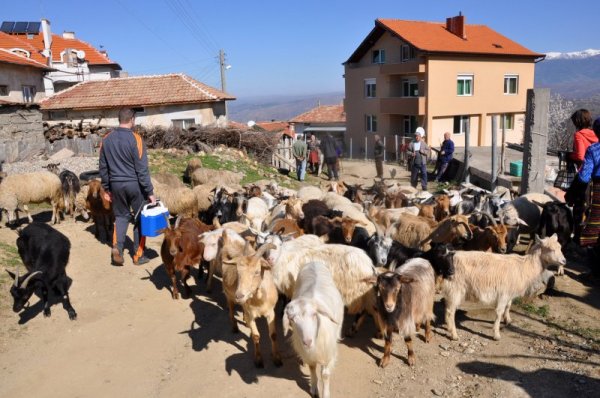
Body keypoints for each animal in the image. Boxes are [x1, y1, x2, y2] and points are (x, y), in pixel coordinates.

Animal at [284, 262, 344, 398]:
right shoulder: (309, 354)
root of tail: (313, 262)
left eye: (314, 314)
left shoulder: (328, 353)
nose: (307, 342)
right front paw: (314, 388)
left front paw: (325, 394)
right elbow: (312, 369)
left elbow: (325, 375)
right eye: (292, 319)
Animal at [440, 235, 568, 340]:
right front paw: (496, 334)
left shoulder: (509, 292)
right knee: (450, 311)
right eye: (550, 249)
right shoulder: (503, 293)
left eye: (560, 247)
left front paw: (508, 320)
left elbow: (508, 306)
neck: (525, 266)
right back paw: (454, 335)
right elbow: (499, 312)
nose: (564, 261)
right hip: (456, 288)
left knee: (447, 309)